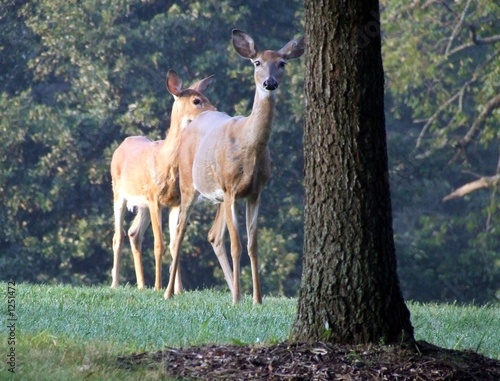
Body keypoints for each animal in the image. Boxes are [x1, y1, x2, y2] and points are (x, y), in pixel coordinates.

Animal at [112, 70, 224, 292]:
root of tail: (122, 144)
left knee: (134, 233)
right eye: (196, 100)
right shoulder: (155, 199)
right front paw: (158, 287)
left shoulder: (174, 202)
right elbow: (159, 244)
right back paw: (115, 284)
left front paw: (177, 289)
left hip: (142, 204)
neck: (166, 162)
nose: (216, 112)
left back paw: (141, 285)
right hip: (118, 193)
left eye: (206, 97)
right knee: (118, 236)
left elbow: (174, 244)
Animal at [164, 29, 304, 302]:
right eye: (257, 62)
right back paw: (168, 293)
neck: (249, 147)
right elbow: (237, 244)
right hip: (188, 184)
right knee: (180, 231)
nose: (270, 83)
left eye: (282, 63)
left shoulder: (255, 192)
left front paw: (256, 299)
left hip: (218, 197)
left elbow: (252, 245)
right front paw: (238, 299)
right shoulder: (230, 188)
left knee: (213, 235)